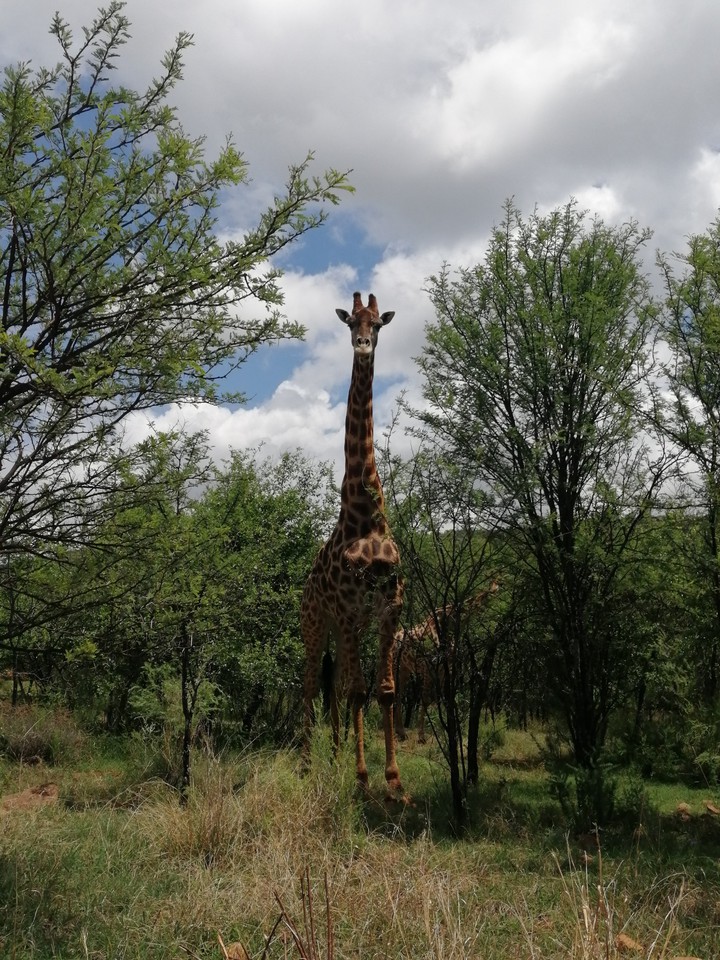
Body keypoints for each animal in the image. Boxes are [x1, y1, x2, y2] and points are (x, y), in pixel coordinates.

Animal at [394, 582, 499, 743]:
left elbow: (445, 699)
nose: (494, 590)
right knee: (394, 692)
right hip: (396, 666)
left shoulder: (444, 670)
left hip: (405, 669)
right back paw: (398, 731)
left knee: (398, 694)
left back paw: (401, 732)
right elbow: (426, 700)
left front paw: (449, 733)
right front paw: (421, 736)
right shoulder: (428, 668)